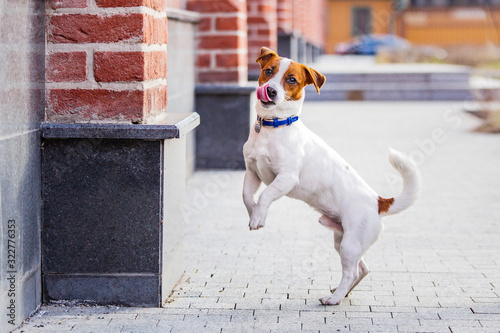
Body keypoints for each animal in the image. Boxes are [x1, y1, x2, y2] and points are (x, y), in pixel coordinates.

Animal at [242, 46, 422, 304]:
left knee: (351, 271)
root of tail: (378, 202)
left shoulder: (286, 178)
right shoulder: (252, 172)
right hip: (342, 240)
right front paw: (254, 214)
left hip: (350, 243)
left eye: (292, 80)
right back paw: (341, 292)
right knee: (362, 268)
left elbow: (266, 195)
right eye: (268, 71)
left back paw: (334, 299)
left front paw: (258, 216)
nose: (271, 90)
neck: (273, 125)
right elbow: (248, 197)